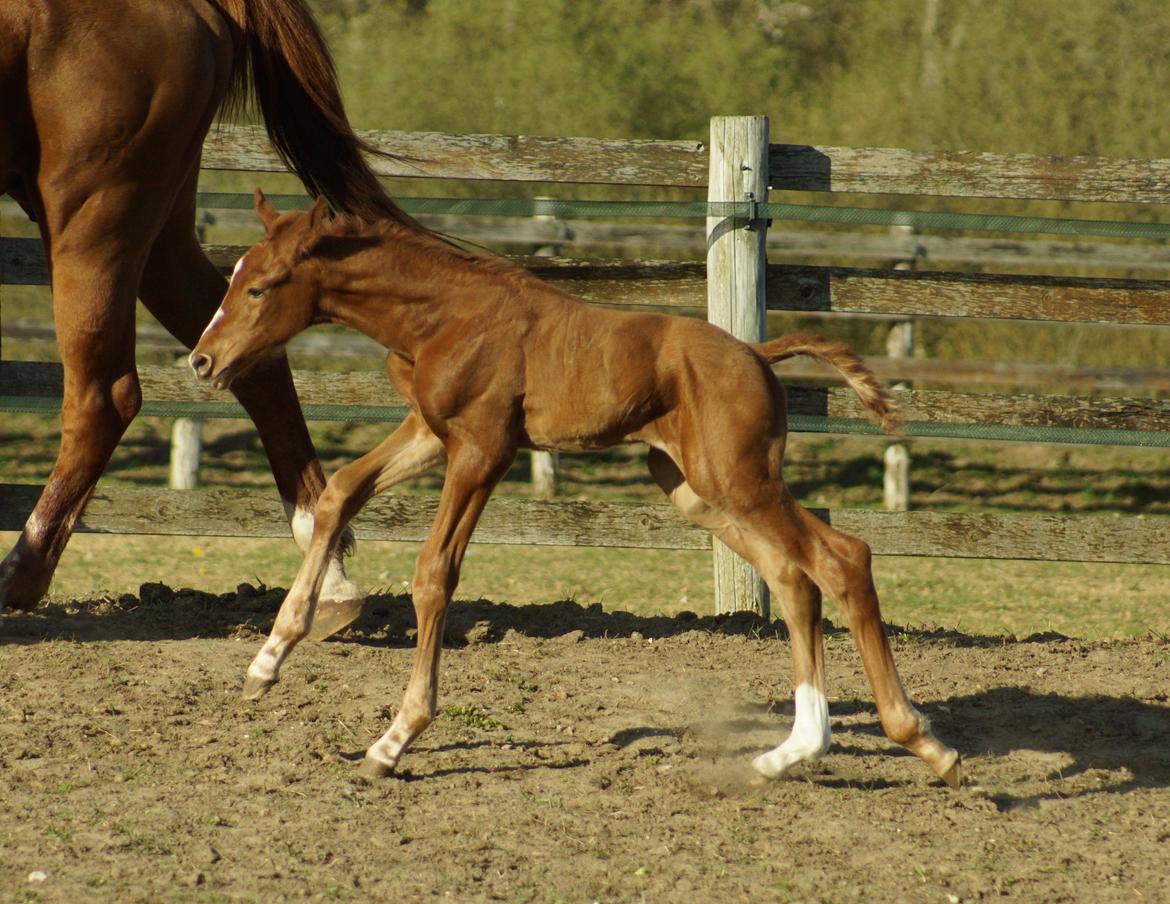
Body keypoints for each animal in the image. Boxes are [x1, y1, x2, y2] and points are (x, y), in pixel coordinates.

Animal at [0, 0, 421, 626]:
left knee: (103, 397)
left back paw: (18, 576)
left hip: (92, 217)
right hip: (158, 232)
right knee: (256, 364)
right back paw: (330, 580)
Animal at [189, 194, 959, 785]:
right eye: (235, 277)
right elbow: (339, 494)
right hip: (697, 490)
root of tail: (755, 352)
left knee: (841, 559)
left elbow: (434, 574)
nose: (202, 359)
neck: (445, 316)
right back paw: (789, 752)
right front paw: (266, 661)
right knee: (793, 578)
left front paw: (394, 738)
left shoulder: (483, 451)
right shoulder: (430, 433)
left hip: (741, 480)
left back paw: (921, 741)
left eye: (259, 286)